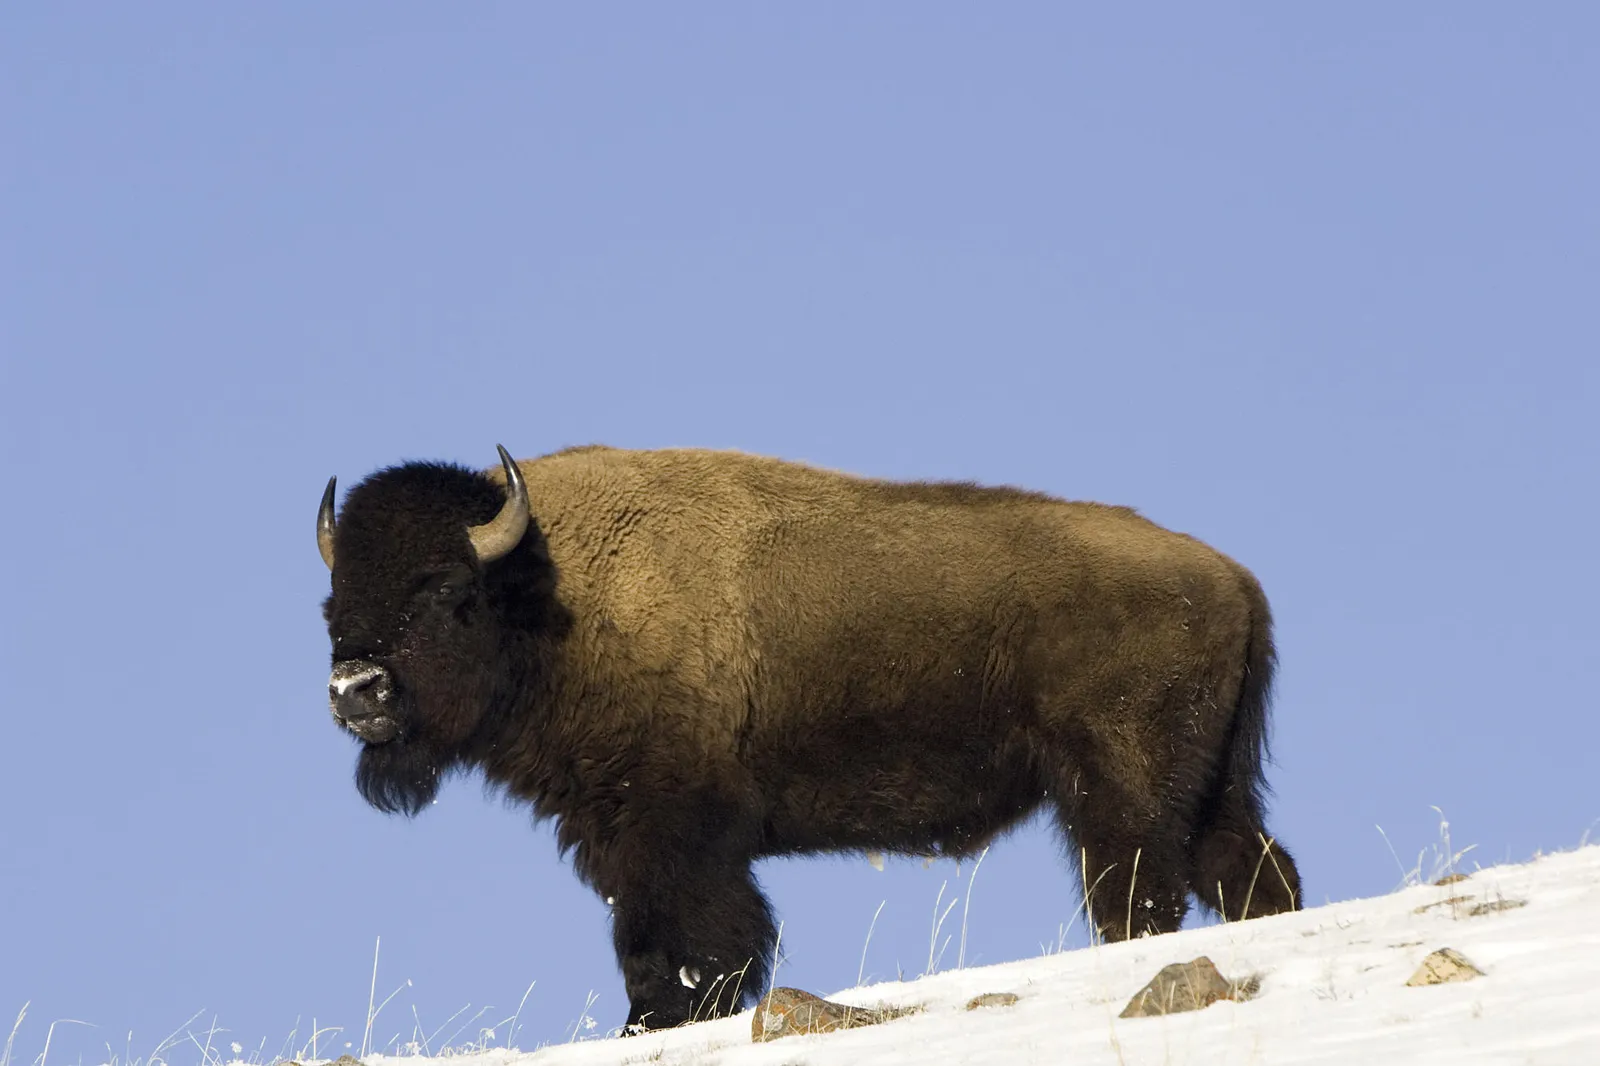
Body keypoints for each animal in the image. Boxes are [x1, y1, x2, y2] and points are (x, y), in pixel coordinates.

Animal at [316, 444, 1300, 1031]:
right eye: (332, 603)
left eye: (446, 591)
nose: (356, 691)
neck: (550, 593)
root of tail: (1233, 579)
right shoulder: (617, 834)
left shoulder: (673, 837)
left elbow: (687, 945)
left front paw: (658, 1023)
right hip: (1210, 789)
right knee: (1252, 875)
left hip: (1120, 790)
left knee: (1137, 895)